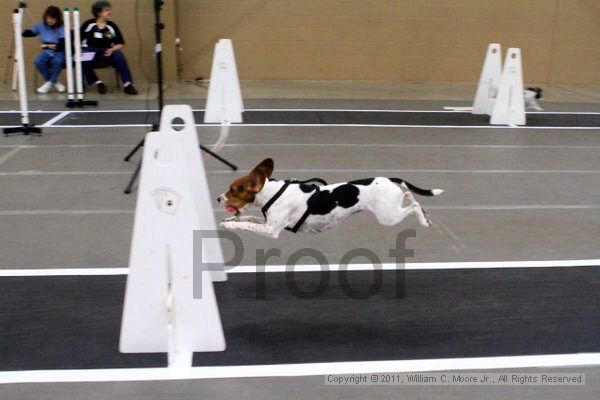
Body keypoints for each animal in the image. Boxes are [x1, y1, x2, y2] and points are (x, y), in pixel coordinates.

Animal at [218, 159, 442, 238]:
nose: (218, 198)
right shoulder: (267, 222)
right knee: (409, 196)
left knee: (414, 205)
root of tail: (387, 179)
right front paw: (230, 219)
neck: (273, 192)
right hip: (391, 210)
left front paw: (230, 225)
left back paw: (424, 220)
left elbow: (246, 224)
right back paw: (424, 213)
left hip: (388, 217)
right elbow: (248, 219)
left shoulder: (271, 230)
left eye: (233, 190)